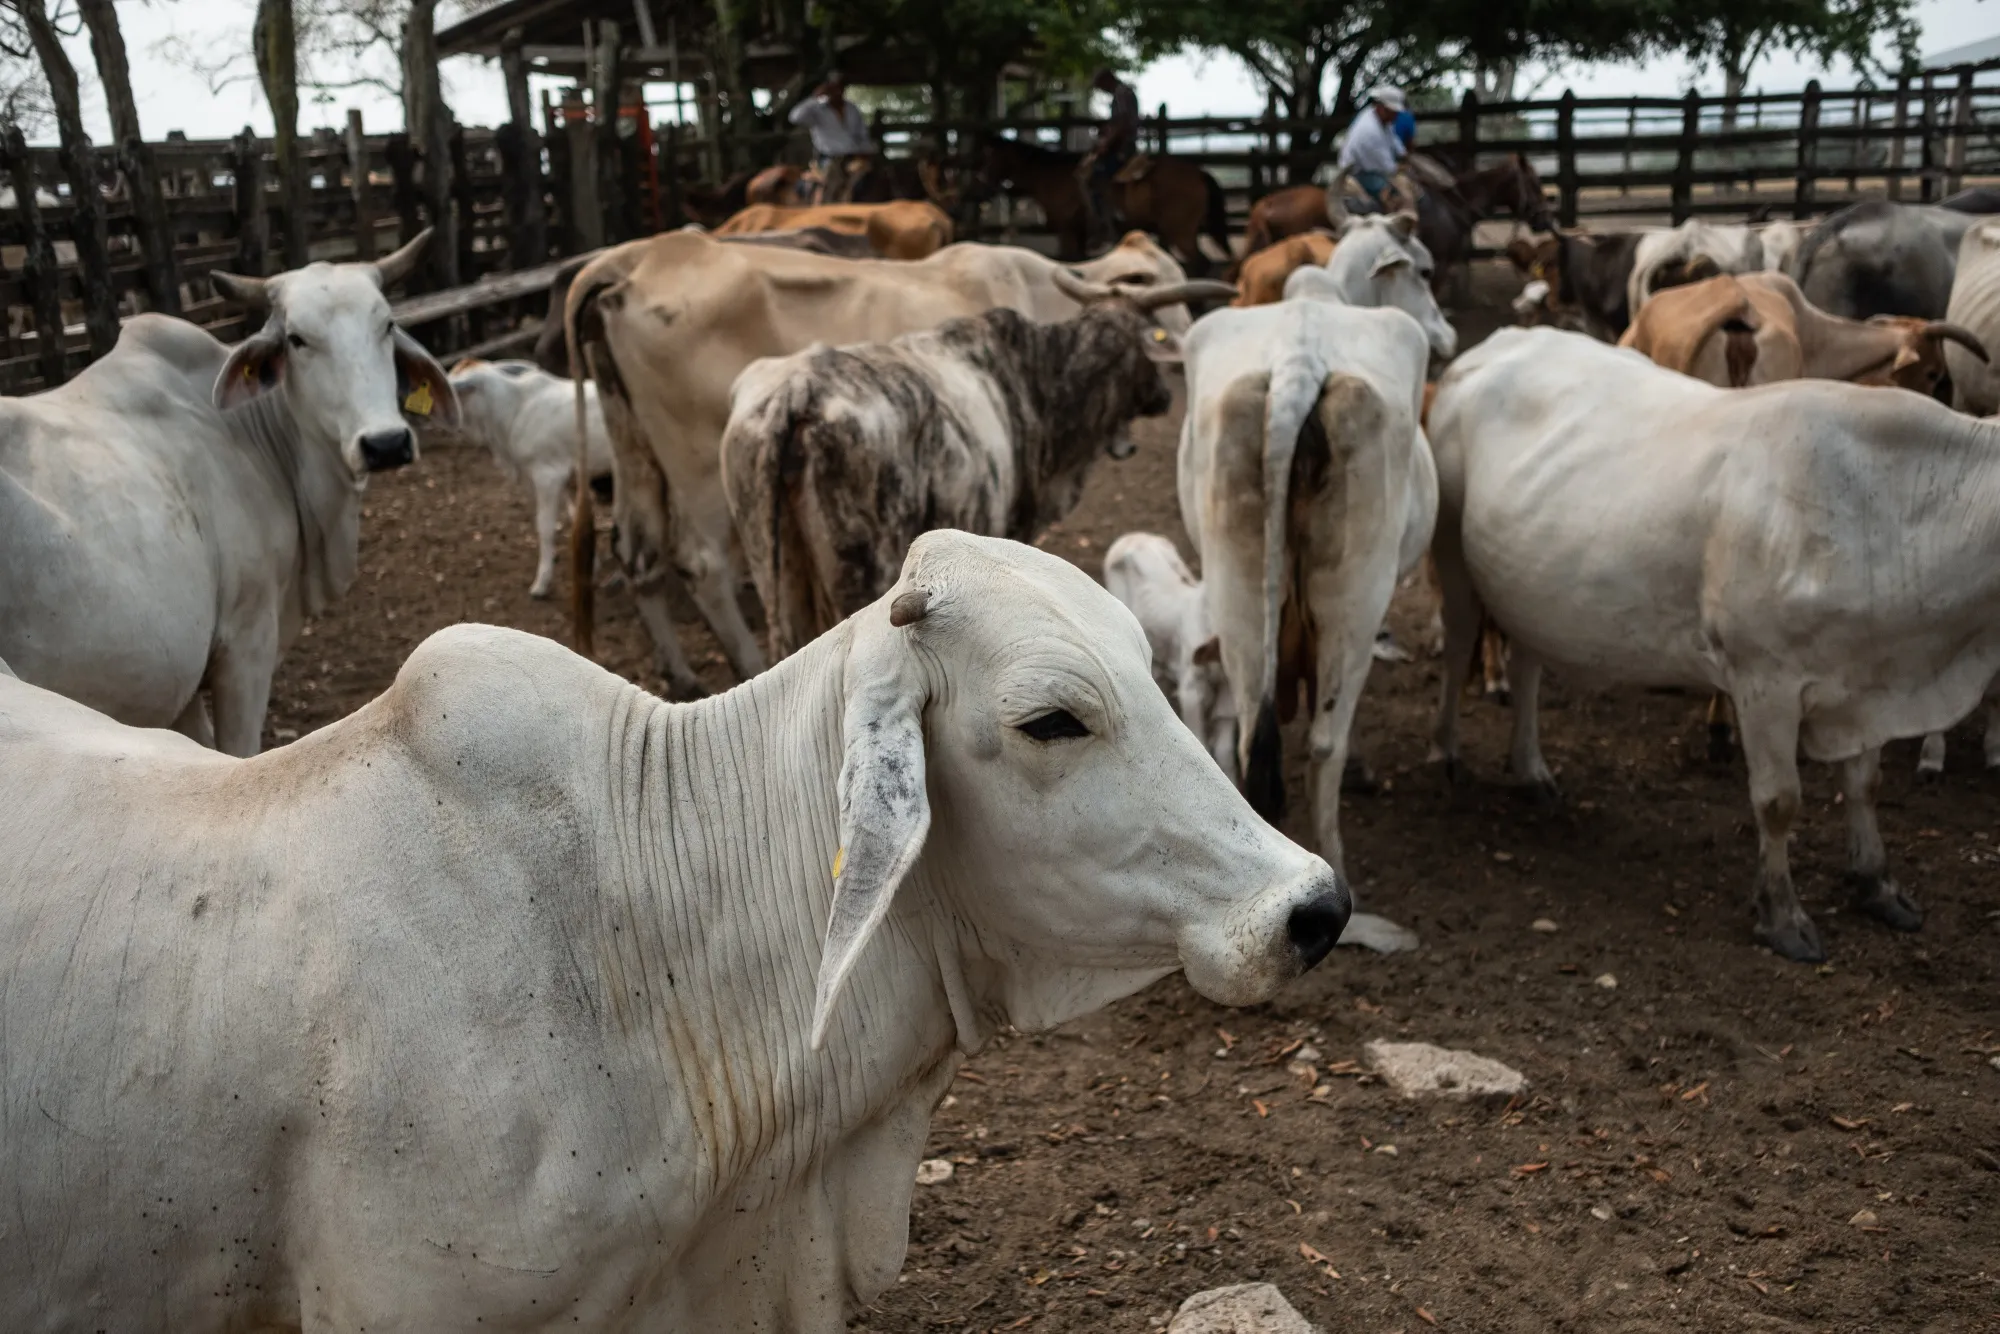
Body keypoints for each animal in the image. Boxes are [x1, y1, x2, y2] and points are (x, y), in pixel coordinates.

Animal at [446, 358, 615, 599]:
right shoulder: (568, 478)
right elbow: (577, 517)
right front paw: (591, 563)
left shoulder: (548, 475)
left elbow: (545, 526)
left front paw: (541, 583)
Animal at [720, 273, 1229, 659]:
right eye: (1153, 340)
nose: (1164, 397)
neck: (1040, 380)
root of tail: (798, 392)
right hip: (859, 574)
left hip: (775, 577)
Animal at [1177, 213, 1454, 872]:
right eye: (1424, 270)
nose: (1448, 332)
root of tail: (1297, 366)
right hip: (1356, 594)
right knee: (1328, 742)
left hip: (1237, 588)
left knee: (1252, 733)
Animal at [1424, 326, 2000, 962]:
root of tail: (1502, 339)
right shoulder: (1765, 678)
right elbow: (1778, 801)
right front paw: (1781, 915)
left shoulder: (1862, 677)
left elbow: (1864, 785)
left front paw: (1876, 882)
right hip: (1452, 551)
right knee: (1458, 641)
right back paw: (1446, 752)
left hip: (1527, 581)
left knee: (1527, 663)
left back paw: (1531, 770)